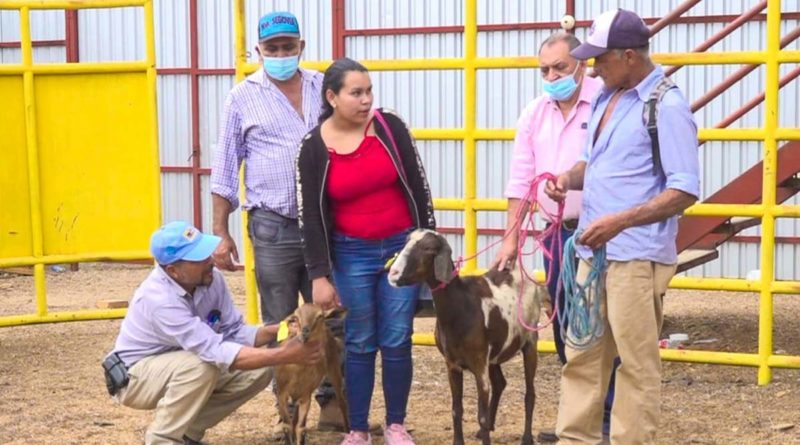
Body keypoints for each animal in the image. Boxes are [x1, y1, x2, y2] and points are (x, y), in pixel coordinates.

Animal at [274, 304, 348, 442]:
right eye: (296, 317)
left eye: (320, 316)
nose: (305, 331)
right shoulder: (281, 393)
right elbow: (287, 425)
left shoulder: (306, 395)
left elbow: (301, 428)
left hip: (334, 367)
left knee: (341, 402)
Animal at [388, 229, 552, 444]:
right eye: (406, 242)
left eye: (428, 248)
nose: (392, 274)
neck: (461, 305)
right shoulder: (453, 364)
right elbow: (456, 410)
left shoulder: (479, 364)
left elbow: (480, 416)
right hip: (494, 354)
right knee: (500, 383)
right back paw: (487, 429)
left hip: (530, 341)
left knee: (530, 393)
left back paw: (526, 437)